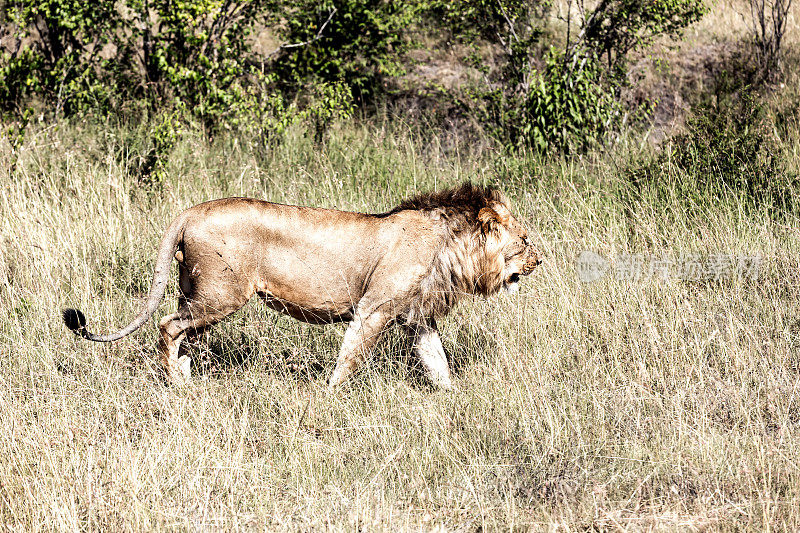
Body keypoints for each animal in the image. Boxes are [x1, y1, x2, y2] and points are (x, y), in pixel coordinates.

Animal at [61, 182, 536, 386]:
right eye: (525, 241)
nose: (540, 261)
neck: (449, 245)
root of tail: (190, 211)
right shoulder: (374, 308)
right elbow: (350, 358)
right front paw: (330, 397)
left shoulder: (416, 318)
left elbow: (437, 363)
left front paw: (451, 401)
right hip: (220, 295)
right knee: (167, 327)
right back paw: (175, 387)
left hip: (199, 296)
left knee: (184, 336)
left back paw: (187, 381)